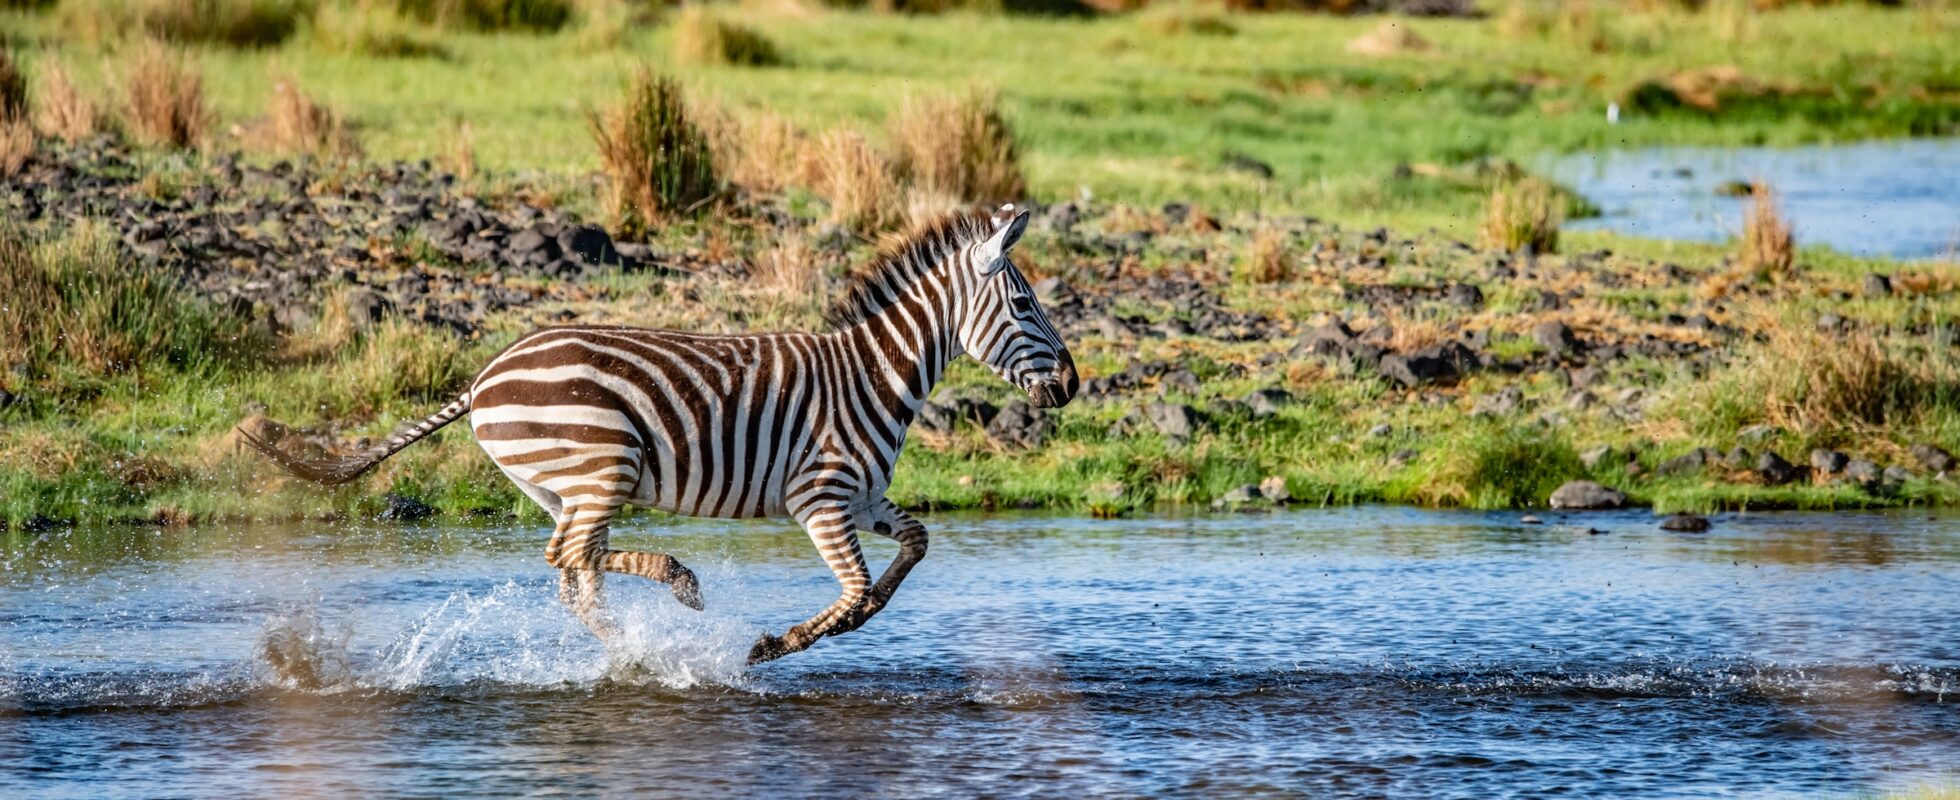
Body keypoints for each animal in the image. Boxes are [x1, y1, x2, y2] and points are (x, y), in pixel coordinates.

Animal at [240, 204, 1077, 664]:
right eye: (1025, 304)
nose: (1072, 385)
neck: (871, 375)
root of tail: (482, 377)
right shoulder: (821, 496)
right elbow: (856, 591)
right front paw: (773, 645)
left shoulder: (865, 497)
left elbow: (909, 554)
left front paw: (829, 628)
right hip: (601, 462)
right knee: (572, 559)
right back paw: (667, 600)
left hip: (565, 484)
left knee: (575, 567)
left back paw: (640, 632)